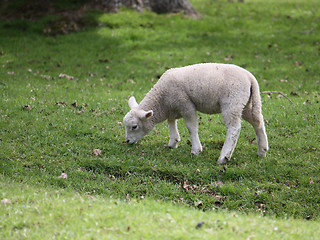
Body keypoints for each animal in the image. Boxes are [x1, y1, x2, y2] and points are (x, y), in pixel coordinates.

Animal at [124, 62, 268, 165]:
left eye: (134, 126)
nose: (127, 141)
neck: (161, 100)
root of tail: (250, 77)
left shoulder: (186, 104)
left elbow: (191, 127)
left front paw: (196, 150)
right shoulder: (173, 107)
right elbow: (171, 122)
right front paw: (173, 142)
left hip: (232, 102)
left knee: (234, 128)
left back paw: (224, 157)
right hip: (245, 104)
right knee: (258, 121)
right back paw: (262, 150)